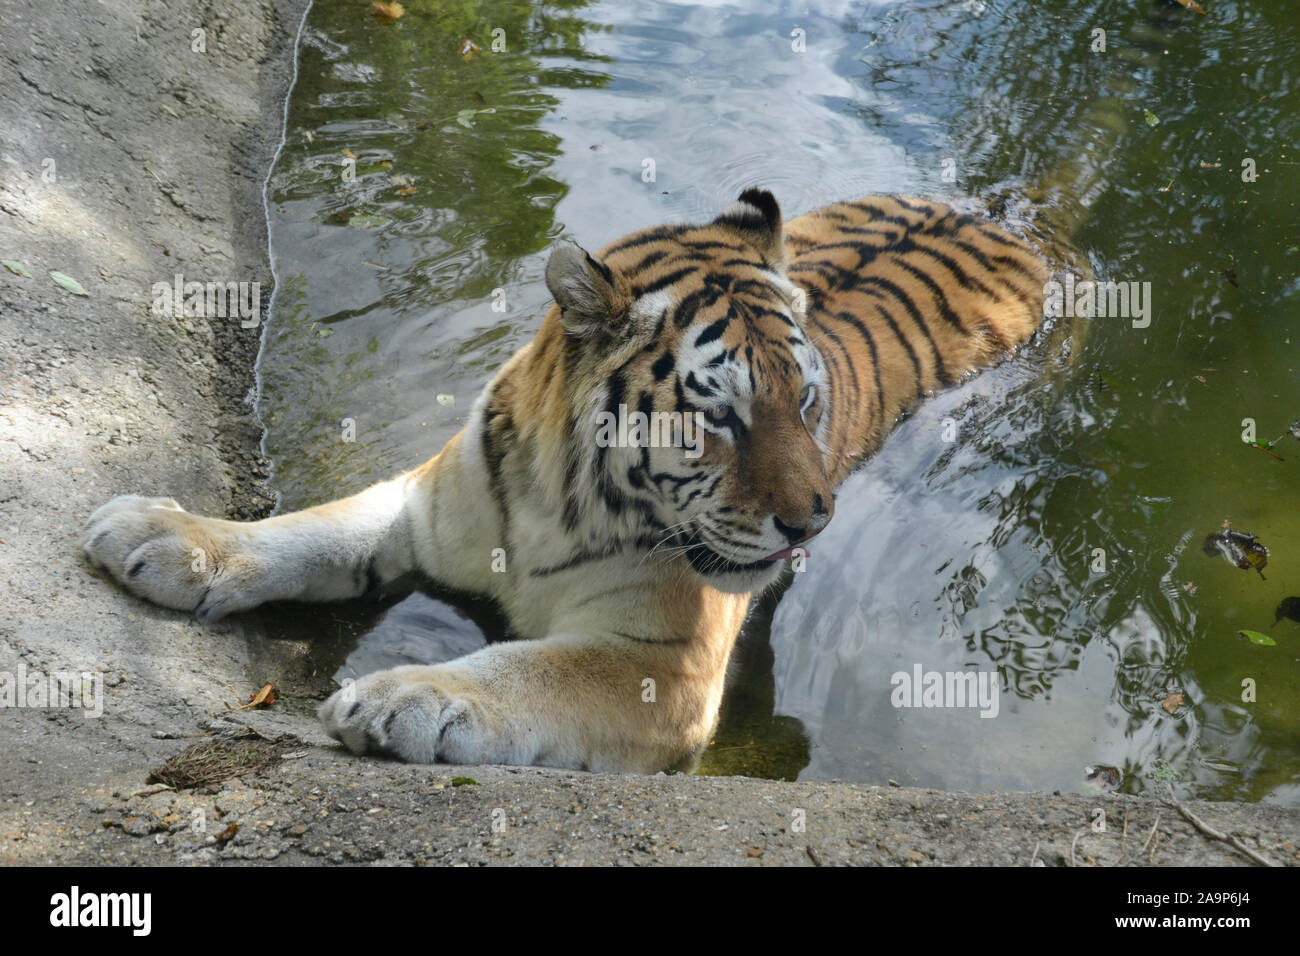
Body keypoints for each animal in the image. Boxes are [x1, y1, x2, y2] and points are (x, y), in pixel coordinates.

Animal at [81, 191, 1050, 775]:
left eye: (807, 402)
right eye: (721, 417)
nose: (812, 524)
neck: (560, 501)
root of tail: (994, 207)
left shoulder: (664, 661)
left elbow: (531, 668)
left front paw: (405, 697)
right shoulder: (420, 506)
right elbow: (311, 529)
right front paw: (156, 535)